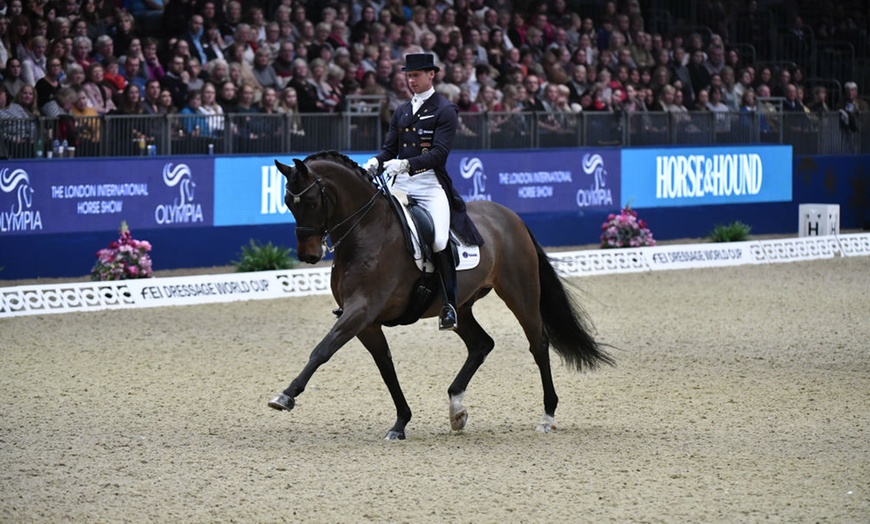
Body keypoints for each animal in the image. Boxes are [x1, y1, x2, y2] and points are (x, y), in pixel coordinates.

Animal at [270, 152, 616, 442]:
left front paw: (285, 396)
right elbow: (385, 366)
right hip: (460, 306)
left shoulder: (362, 310)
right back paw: (456, 409)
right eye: (288, 202)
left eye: (310, 201)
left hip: (520, 293)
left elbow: (322, 350)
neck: (366, 231)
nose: (309, 256)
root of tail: (509, 216)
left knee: (538, 344)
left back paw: (547, 416)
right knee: (481, 344)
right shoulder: (366, 322)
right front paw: (401, 423)